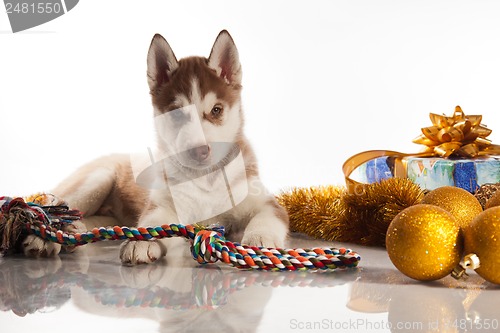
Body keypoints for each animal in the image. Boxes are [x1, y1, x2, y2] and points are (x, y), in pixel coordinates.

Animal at [23, 31, 290, 264]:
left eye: (216, 110)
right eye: (176, 113)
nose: (199, 151)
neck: (205, 178)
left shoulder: (266, 203)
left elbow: (267, 218)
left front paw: (260, 239)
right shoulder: (161, 205)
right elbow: (152, 224)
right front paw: (141, 241)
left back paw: (74, 229)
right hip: (95, 180)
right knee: (57, 208)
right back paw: (45, 238)